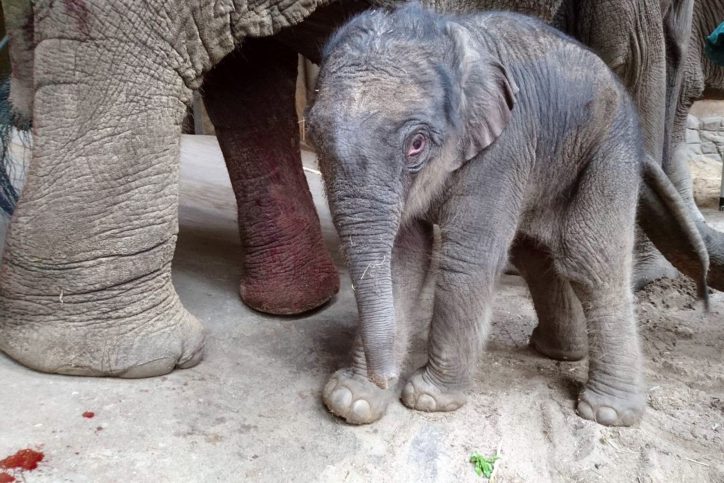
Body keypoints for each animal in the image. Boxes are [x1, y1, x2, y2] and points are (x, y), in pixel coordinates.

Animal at [306, 4, 708, 428]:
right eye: (313, 137)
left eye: (416, 144)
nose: (384, 377)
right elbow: (403, 257)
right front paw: (353, 400)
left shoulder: (502, 149)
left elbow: (466, 261)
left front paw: (427, 399)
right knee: (537, 255)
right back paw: (559, 351)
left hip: (610, 148)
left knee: (590, 260)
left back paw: (606, 412)